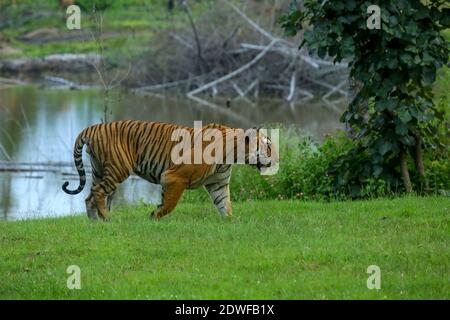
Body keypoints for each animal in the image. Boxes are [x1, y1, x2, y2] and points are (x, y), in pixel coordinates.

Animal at [61, 120, 276, 220]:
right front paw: (154, 216)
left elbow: (225, 205)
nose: (277, 159)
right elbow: (170, 204)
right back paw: (108, 218)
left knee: (89, 196)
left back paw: (95, 222)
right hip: (118, 168)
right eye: (268, 147)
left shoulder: (218, 184)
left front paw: (231, 222)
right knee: (98, 192)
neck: (232, 155)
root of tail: (93, 127)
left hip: (99, 170)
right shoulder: (175, 177)